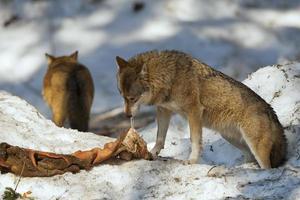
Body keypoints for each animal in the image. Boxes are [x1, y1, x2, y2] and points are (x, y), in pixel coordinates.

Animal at [116, 50, 288, 169]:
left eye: (132, 98)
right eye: (122, 96)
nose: (127, 115)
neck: (170, 78)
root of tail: (271, 111)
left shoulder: (194, 112)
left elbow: (194, 141)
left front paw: (191, 161)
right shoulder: (164, 110)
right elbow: (160, 138)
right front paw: (151, 154)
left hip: (254, 145)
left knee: (267, 167)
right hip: (233, 139)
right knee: (251, 159)